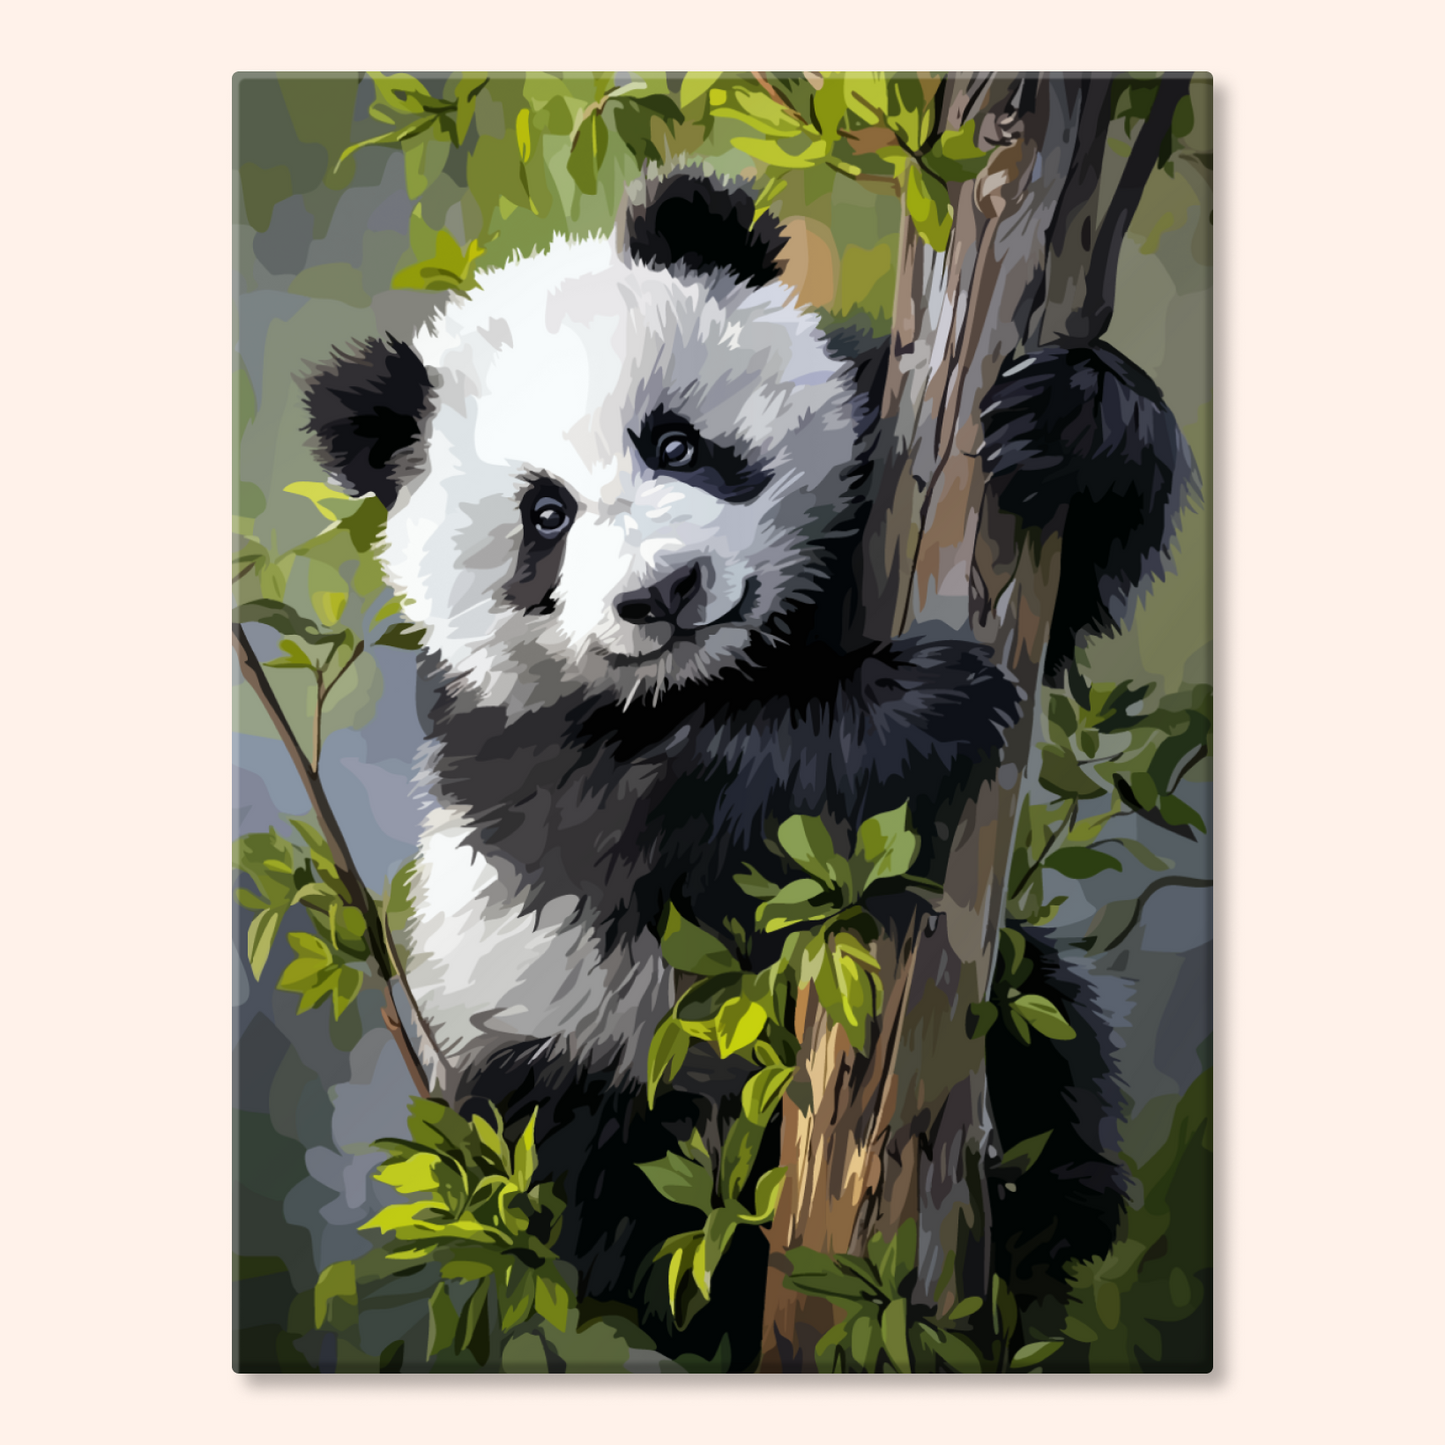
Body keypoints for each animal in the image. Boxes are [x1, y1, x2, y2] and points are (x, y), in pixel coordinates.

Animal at [302, 165, 1195, 1364]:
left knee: (1041, 1012)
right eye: (546, 514)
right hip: (549, 1049)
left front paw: (1075, 418)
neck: (729, 659)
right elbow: (656, 815)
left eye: (676, 444)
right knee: (605, 1171)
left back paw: (1043, 1204)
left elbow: (1061, 591)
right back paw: (716, 1287)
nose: (664, 591)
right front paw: (918, 704)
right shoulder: (499, 731)